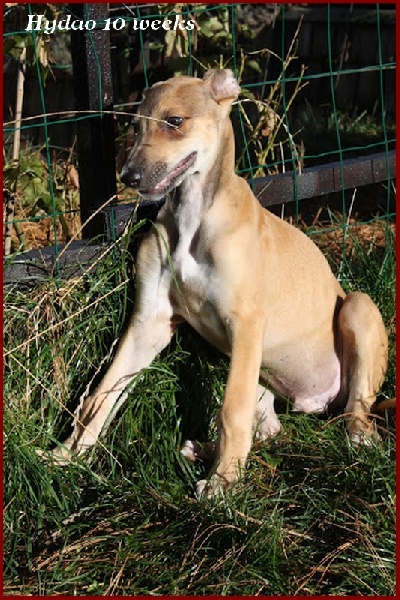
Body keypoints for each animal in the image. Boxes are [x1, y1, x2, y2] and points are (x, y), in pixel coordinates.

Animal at [50, 69, 388, 497]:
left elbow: (231, 410)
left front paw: (224, 483)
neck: (194, 217)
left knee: (356, 411)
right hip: (258, 371)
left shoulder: (245, 322)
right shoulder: (150, 322)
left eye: (175, 121)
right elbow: (100, 396)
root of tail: (314, 404)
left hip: (354, 310)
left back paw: (357, 438)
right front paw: (65, 457)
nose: (130, 177)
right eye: (135, 126)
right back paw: (204, 449)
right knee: (271, 429)